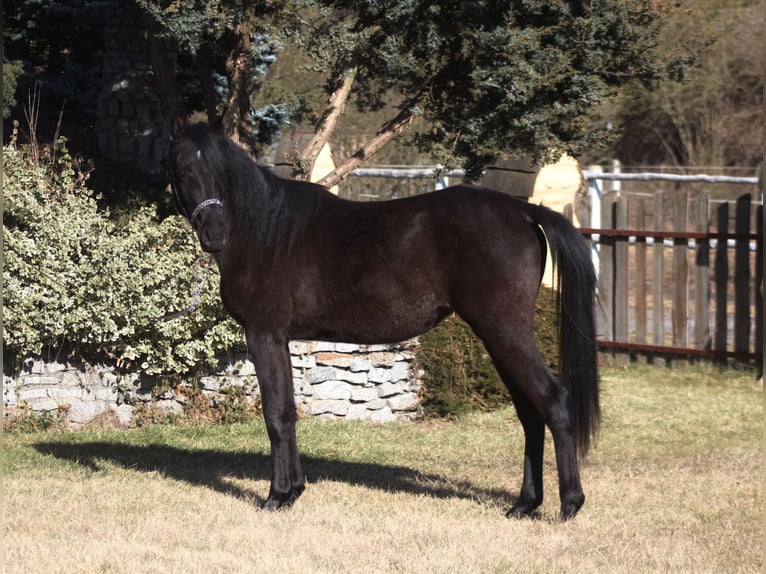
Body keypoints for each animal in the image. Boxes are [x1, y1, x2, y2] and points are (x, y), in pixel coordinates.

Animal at [168, 115, 599, 521]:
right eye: (183, 168)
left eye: (221, 171)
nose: (214, 235)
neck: (267, 233)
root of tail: (524, 211)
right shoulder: (280, 339)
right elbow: (288, 412)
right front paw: (293, 491)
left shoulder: (264, 335)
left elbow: (275, 415)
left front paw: (276, 496)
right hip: (498, 337)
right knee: (530, 414)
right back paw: (524, 505)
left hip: (505, 332)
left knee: (553, 402)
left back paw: (570, 504)